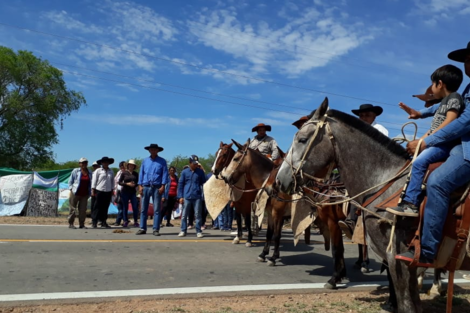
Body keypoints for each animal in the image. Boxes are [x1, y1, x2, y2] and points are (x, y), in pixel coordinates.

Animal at [276, 97, 470, 310]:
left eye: (302, 139)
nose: (280, 179)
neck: (387, 182)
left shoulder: (396, 257)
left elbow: (339, 250)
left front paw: (335, 279)